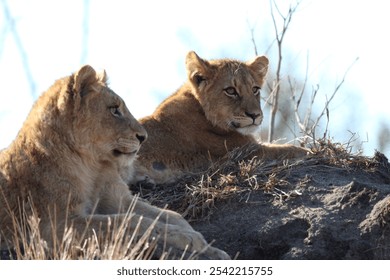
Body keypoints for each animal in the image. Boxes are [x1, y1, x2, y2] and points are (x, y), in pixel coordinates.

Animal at [0, 65, 230, 260]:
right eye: (114, 109)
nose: (143, 137)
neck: (91, 165)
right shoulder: (55, 226)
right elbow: (128, 222)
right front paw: (189, 239)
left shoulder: (117, 199)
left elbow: (169, 216)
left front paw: (210, 248)